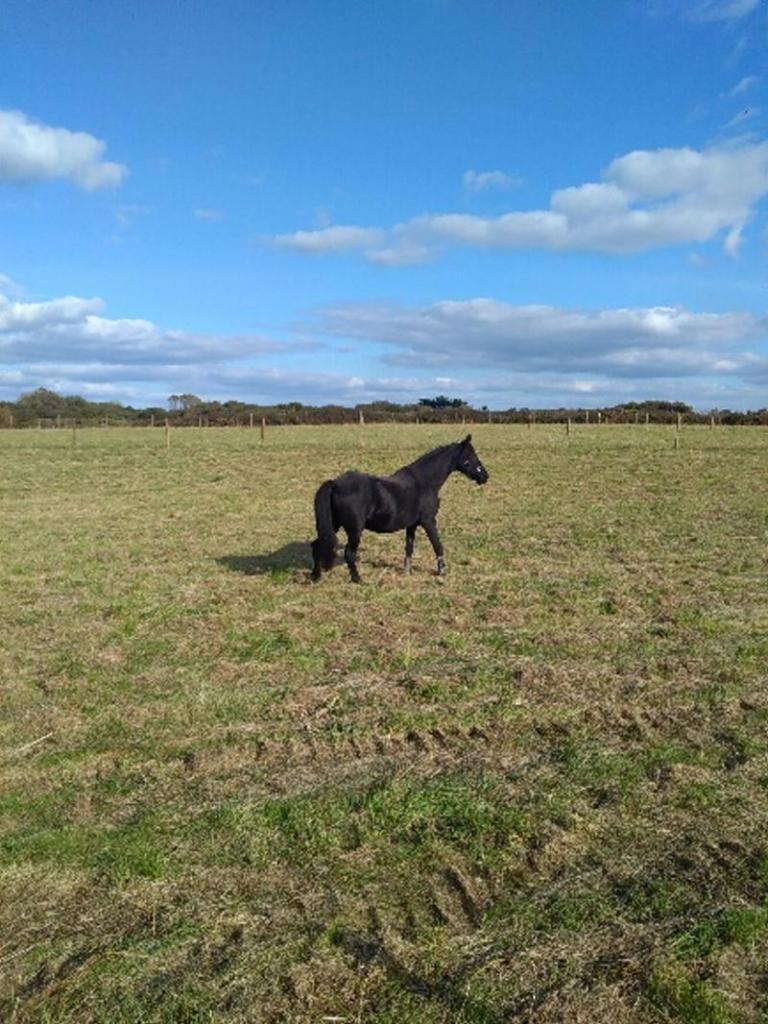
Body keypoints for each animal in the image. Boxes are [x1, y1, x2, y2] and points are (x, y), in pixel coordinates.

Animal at [311, 434, 487, 585]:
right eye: (470, 456)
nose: (485, 476)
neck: (425, 481)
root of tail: (335, 483)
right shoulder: (428, 521)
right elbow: (437, 545)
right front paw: (442, 572)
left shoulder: (412, 525)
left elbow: (409, 547)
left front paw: (407, 572)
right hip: (354, 530)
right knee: (349, 553)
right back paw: (358, 579)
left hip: (334, 525)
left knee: (317, 545)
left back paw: (315, 576)